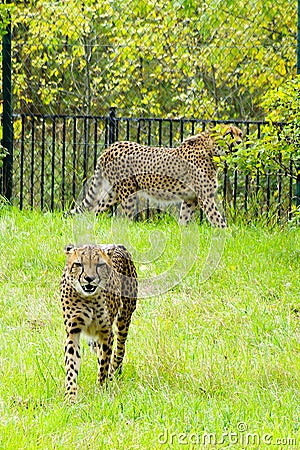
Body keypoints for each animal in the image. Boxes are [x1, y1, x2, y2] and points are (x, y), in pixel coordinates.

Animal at [60, 244, 138, 402]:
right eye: (79, 264)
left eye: (100, 265)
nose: (89, 279)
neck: (88, 298)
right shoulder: (72, 332)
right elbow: (71, 366)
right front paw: (70, 397)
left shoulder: (106, 332)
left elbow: (104, 364)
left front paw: (101, 390)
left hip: (124, 318)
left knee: (119, 349)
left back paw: (114, 372)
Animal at [71, 125, 244, 227]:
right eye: (229, 134)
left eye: (240, 134)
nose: (240, 142)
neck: (211, 150)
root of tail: (110, 147)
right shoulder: (205, 197)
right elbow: (217, 219)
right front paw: (228, 236)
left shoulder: (191, 198)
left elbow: (184, 219)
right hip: (127, 192)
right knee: (125, 218)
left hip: (114, 192)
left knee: (97, 209)